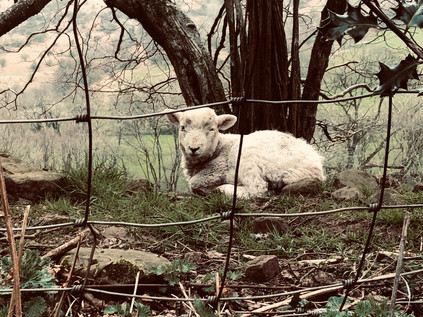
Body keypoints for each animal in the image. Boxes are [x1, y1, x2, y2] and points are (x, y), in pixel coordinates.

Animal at [167, 107, 326, 196]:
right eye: (182, 128)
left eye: (212, 129)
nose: (193, 148)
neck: (220, 147)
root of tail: (314, 165)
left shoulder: (217, 170)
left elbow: (195, 183)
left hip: (247, 158)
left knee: (258, 189)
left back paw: (223, 189)